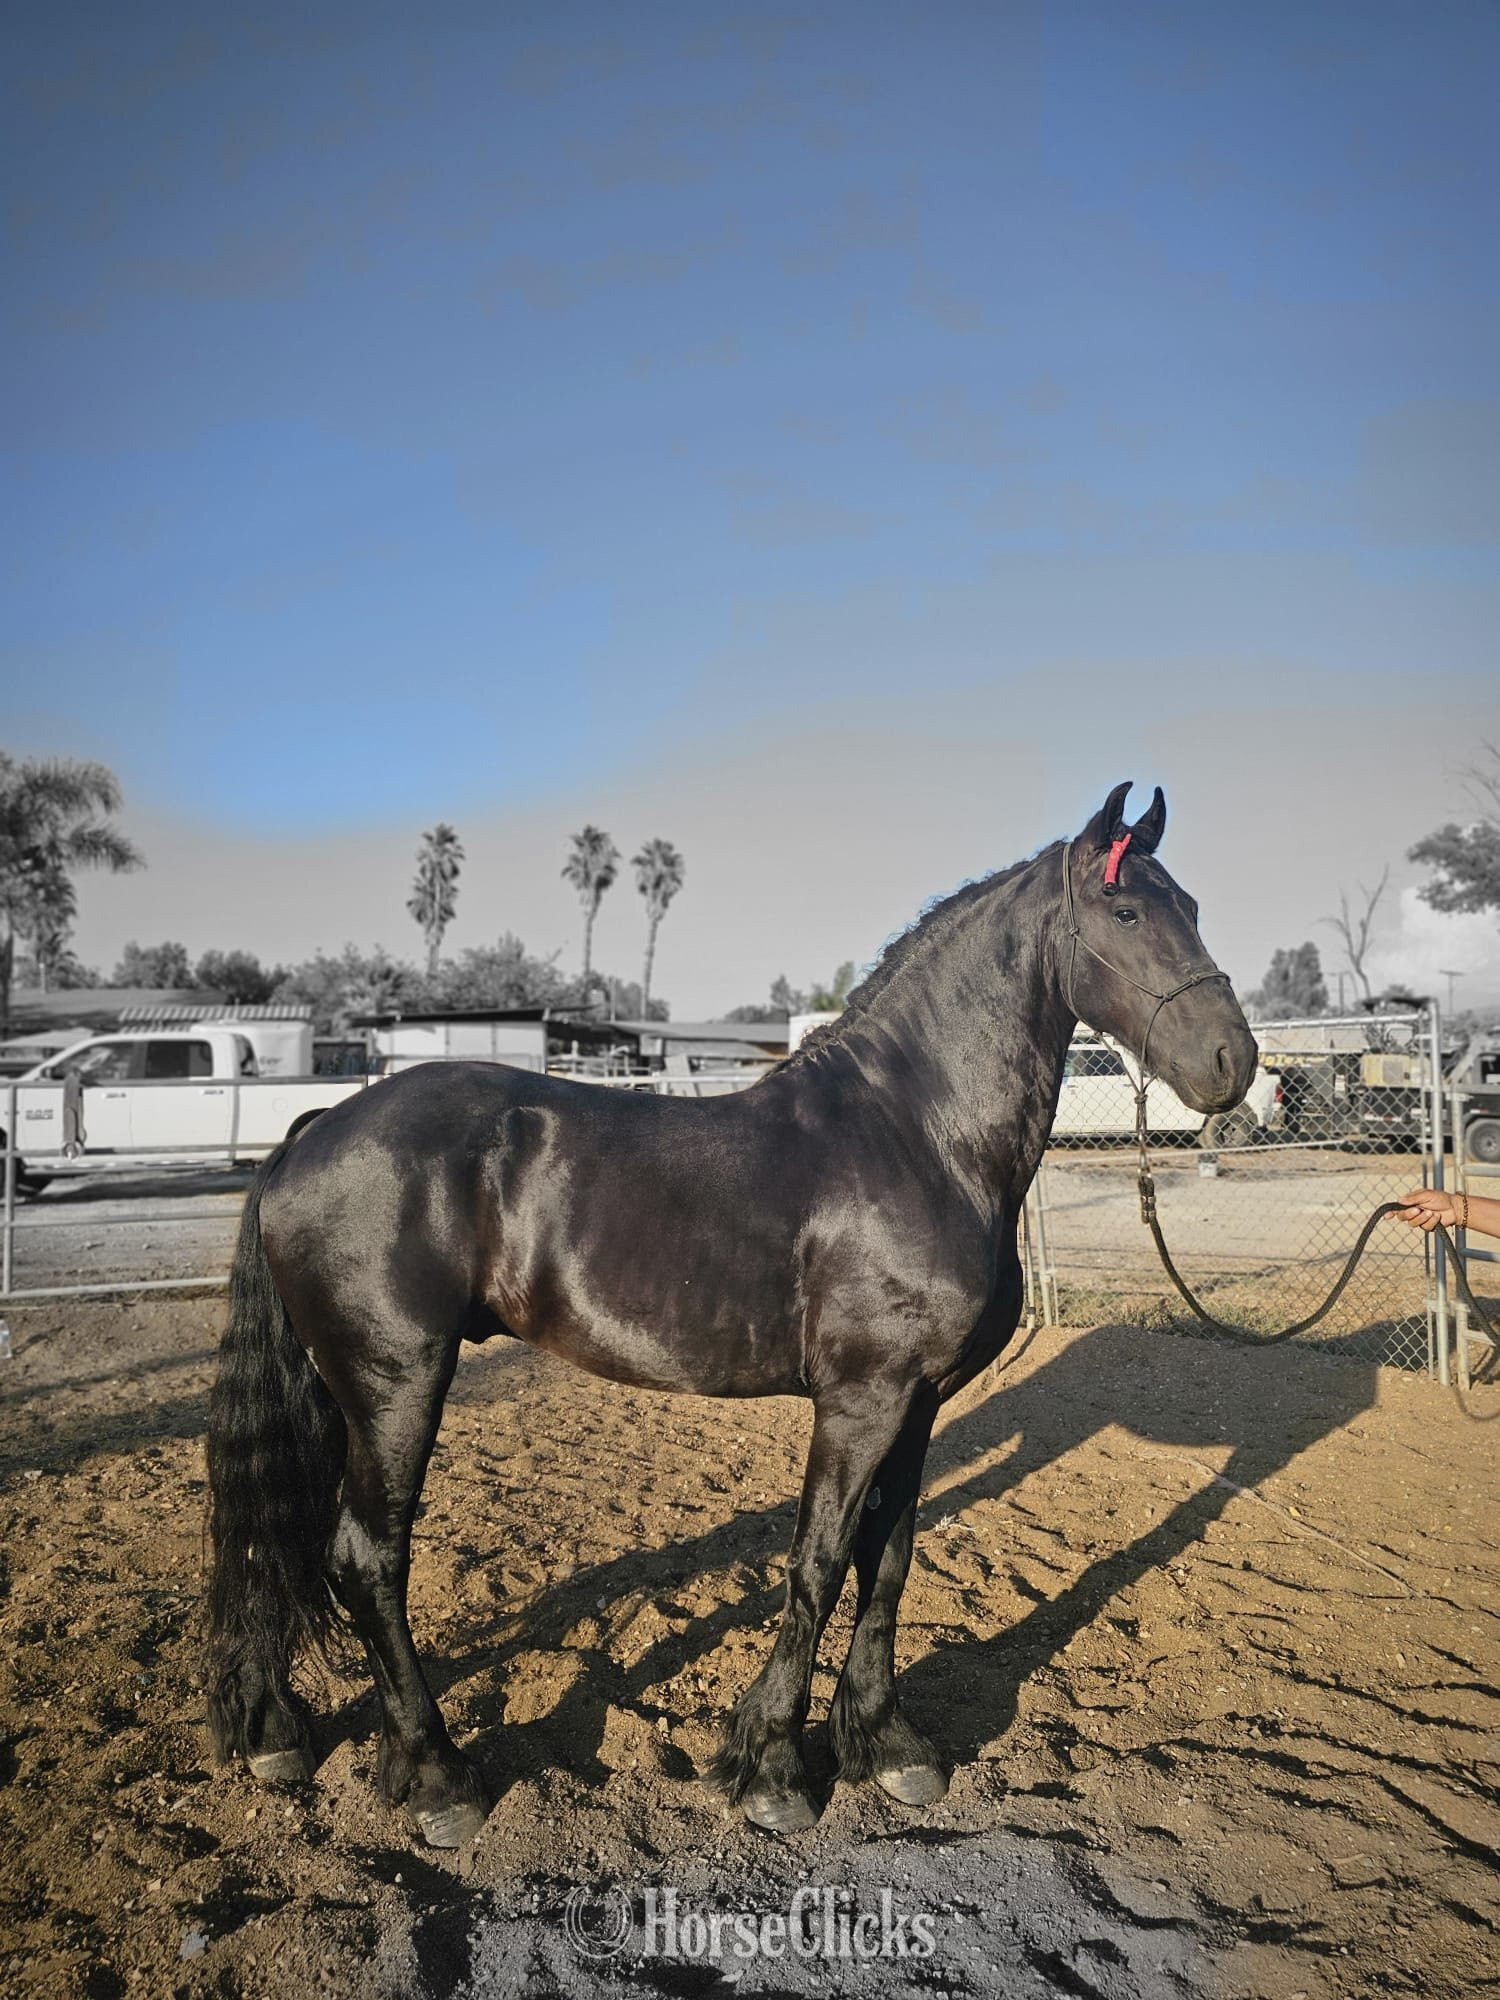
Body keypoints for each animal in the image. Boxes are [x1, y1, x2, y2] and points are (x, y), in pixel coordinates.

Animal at [204, 781, 1257, 1847]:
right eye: (1125, 911)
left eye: (1193, 905)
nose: (1233, 1062)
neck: (917, 1134)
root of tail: (311, 1134)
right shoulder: (860, 1401)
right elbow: (819, 1562)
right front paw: (775, 1767)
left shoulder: (918, 1402)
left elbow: (888, 1558)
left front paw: (890, 1746)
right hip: (396, 1384)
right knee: (366, 1558)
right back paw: (437, 1776)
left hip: (345, 1392)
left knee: (286, 1536)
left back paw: (279, 1731)